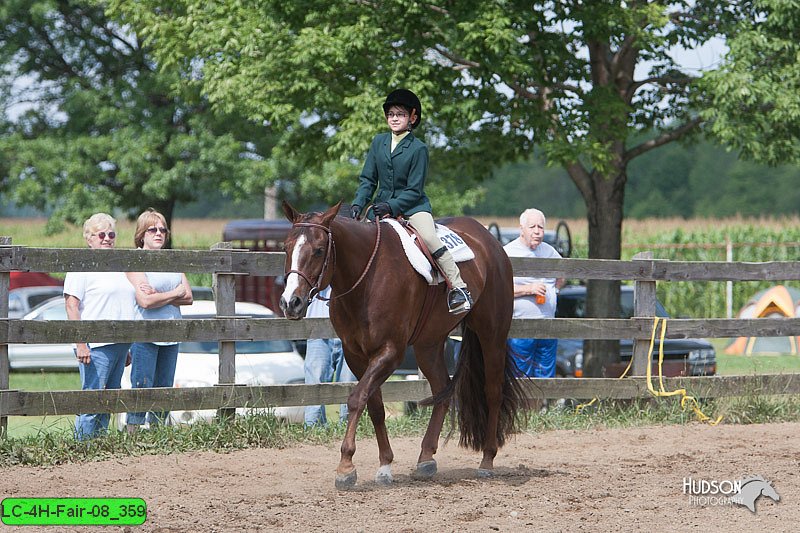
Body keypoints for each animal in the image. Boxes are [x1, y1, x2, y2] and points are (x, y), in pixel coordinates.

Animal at [280, 202, 524, 488]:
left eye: (319, 250)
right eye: (286, 247)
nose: (290, 303)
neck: (365, 279)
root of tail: (489, 240)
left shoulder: (389, 352)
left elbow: (356, 399)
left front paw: (346, 466)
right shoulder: (356, 355)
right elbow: (374, 406)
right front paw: (384, 465)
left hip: (492, 335)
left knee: (493, 392)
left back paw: (487, 459)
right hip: (428, 345)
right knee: (442, 389)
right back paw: (426, 458)